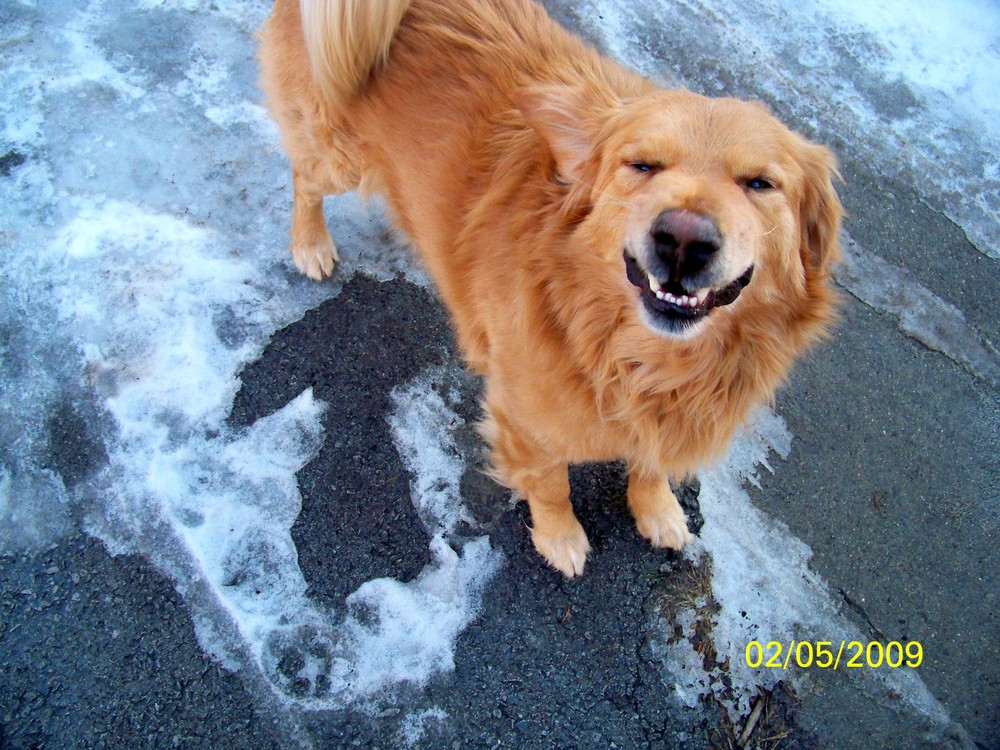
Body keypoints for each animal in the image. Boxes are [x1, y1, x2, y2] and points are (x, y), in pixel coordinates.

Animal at [260, 0, 844, 580]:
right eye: (642, 165)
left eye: (760, 183)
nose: (682, 239)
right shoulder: (525, 421)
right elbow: (551, 484)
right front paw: (560, 536)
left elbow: (650, 466)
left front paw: (657, 508)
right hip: (336, 154)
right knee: (303, 178)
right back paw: (310, 243)